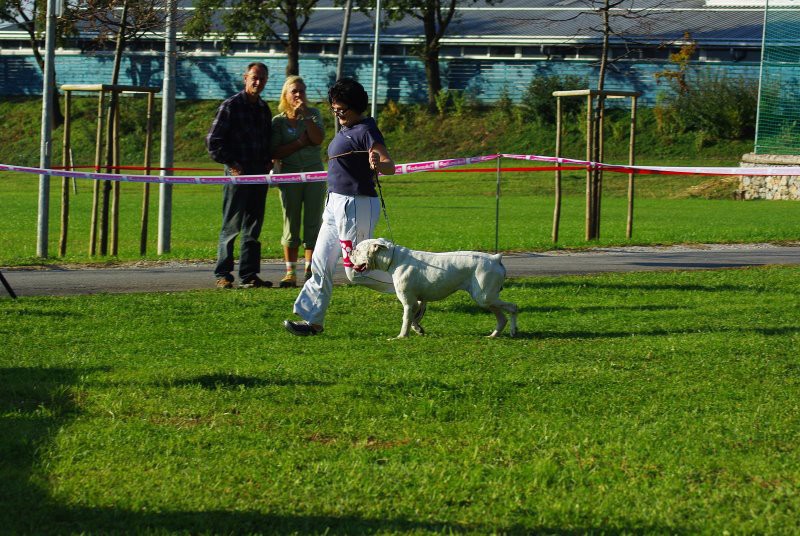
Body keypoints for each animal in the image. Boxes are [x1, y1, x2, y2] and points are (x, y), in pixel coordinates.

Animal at [352, 240, 520, 340]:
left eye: (358, 250)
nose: (351, 252)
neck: (395, 259)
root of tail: (495, 259)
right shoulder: (419, 301)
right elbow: (414, 319)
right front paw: (418, 330)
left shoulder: (409, 302)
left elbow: (406, 319)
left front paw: (401, 337)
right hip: (486, 299)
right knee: (502, 318)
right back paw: (494, 335)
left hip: (484, 297)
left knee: (513, 308)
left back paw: (513, 331)